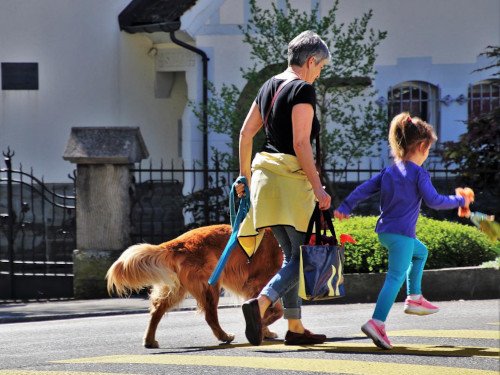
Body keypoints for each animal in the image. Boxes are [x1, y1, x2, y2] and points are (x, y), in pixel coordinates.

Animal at [106, 223, 282, 350]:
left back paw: (149, 340)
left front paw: (264, 330)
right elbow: (274, 311)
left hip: (178, 289)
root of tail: (178, 243)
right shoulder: (260, 282)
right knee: (210, 316)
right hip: (210, 285)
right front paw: (261, 327)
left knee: (156, 310)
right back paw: (224, 336)